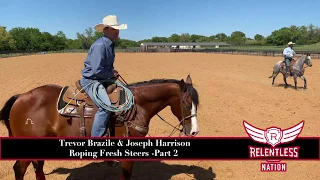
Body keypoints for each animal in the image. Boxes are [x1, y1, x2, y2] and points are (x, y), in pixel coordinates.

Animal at [0, 74, 200, 180]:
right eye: (186, 103)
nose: (194, 131)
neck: (137, 106)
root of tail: (20, 97)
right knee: (20, 168)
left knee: (37, 167)